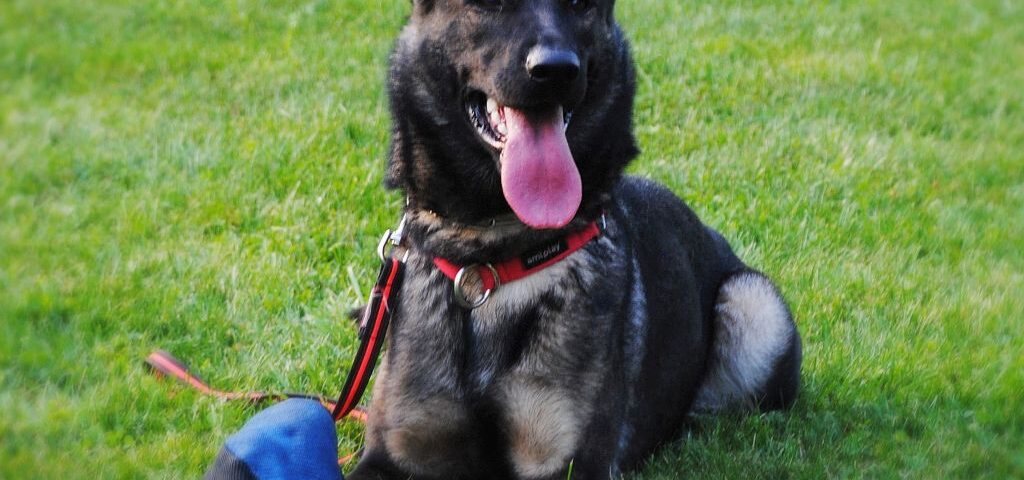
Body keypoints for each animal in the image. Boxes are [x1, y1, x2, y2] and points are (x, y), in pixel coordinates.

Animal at [347, 1, 801, 478]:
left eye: (581, 5)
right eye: (491, 5)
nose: (556, 70)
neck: (491, 261)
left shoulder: (568, 463)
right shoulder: (391, 455)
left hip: (754, 304)